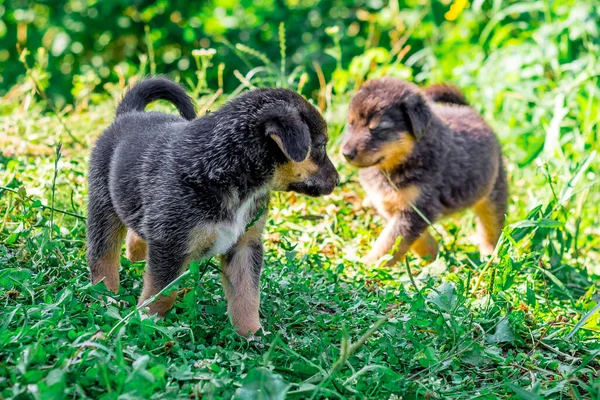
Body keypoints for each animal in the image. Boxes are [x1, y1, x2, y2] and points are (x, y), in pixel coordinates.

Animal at [85, 78, 338, 334]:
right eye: (321, 146)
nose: (337, 181)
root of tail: (129, 113)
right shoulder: (170, 244)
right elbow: (163, 292)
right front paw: (147, 321)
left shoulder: (245, 246)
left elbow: (247, 295)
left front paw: (252, 334)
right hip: (103, 208)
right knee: (103, 257)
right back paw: (107, 297)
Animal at [342, 78, 506, 266]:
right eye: (351, 123)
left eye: (377, 128)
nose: (346, 154)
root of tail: (468, 109)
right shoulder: (391, 205)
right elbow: (411, 239)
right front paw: (432, 255)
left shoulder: (418, 207)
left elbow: (389, 242)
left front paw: (370, 264)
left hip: (492, 191)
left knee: (491, 226)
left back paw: (490, 254)